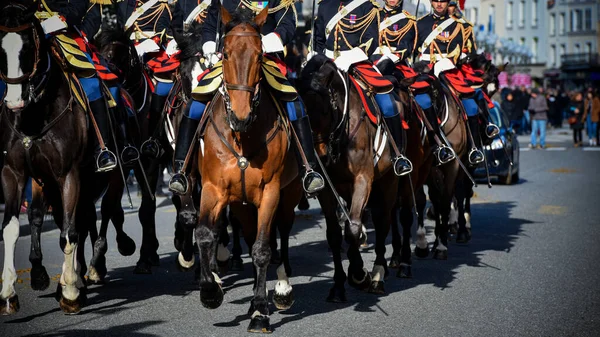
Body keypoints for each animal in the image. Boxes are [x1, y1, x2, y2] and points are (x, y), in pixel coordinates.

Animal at [195, 6, 302, 332]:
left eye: (259, 54)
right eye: (226, 54)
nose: (240, 116)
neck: (242, 136)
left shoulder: (270, 192)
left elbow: (263, 249)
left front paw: (259, 312)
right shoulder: (213, 189)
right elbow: (204, 233)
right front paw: (210, 290)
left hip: (289, 194)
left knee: (280, 233)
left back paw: (281, 287)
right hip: (242, 205)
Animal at [300, 55, 404, 300]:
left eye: (325, 110)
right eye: (301, 114)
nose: (319, 158)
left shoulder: (363, 179)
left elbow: (354, 228)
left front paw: (358, 273)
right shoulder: (328, 189)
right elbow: (335, 234)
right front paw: (338, 285)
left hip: (389, 184)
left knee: (383, 222)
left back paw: (378, 274)